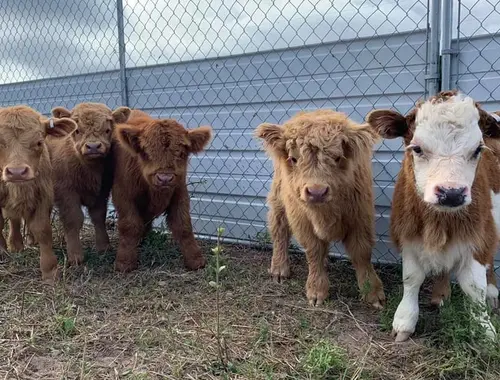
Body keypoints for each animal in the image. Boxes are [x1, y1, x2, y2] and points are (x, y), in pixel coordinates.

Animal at [0, 105, 76, 280]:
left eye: (39, 142)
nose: (16, 172)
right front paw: (1, 252)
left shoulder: (43, 196)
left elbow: (42, 229)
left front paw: (50, 270)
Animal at [45, 102, 131, 266]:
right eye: (77, 130)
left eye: (107, 130)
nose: (93, 147)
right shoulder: (66, 193)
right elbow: (73, 219)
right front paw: (75, 256)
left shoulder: (101, 192)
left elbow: (99, 216)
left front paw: (104, 247)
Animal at [110, 108, 212, 272]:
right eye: (146, 152)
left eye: (182, 153)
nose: (165, 178)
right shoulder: (122, 195)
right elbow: (130, 226)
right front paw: (125, 262)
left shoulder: (180, 193)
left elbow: (183, 225)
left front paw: (195, 260)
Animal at [254, 109, 386, 308]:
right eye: (294, 158)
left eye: (337, 157)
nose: (316, 192)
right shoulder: (302, 221)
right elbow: (314, 251)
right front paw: (316, 291)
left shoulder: (361, 216)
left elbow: (362, 252)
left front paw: (373, 293)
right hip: (278, 199)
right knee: (279, 229)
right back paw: (279, 269)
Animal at [368, 90, 500, 342]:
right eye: (417, 148)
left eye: (478, 149)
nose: (451, 193)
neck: (439, 222)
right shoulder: (408, 236)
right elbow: (412, 279)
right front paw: (405, 321)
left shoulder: (480, 237)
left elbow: (474, 287)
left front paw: (484, 329)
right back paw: (441, 294)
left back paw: (491, 294)